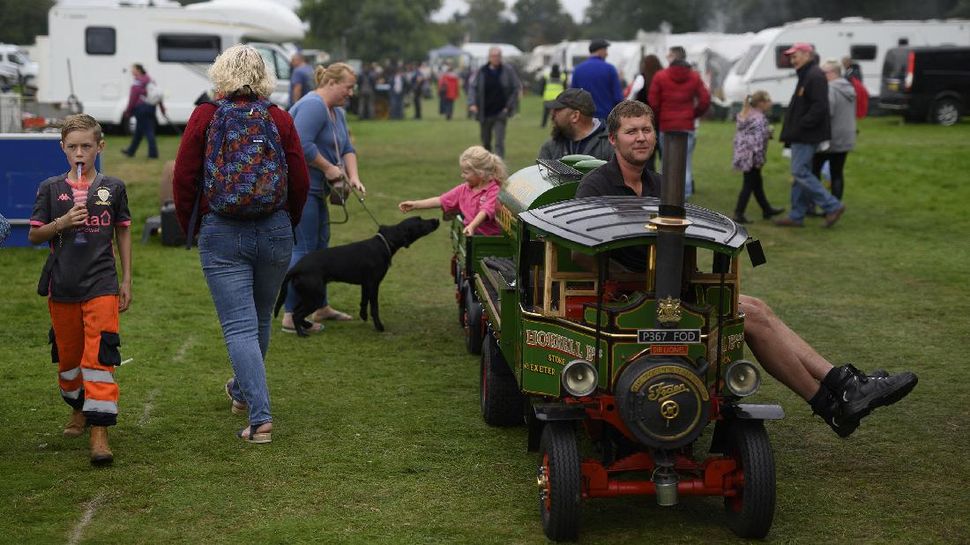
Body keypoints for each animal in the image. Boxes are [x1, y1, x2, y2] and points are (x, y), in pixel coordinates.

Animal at [272, 217, 438, 336]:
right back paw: (302, 334)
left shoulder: (366, 284)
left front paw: (363, 316)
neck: (383, 243)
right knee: (297, 314)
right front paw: (379, 326)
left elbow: (364, 302)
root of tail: (296, 267)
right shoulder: (374, 284)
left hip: (308, 294)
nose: (436, 220)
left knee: (296, 311)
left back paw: (307, 325)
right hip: (315, 296)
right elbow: (374, 307)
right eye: (420, 221)